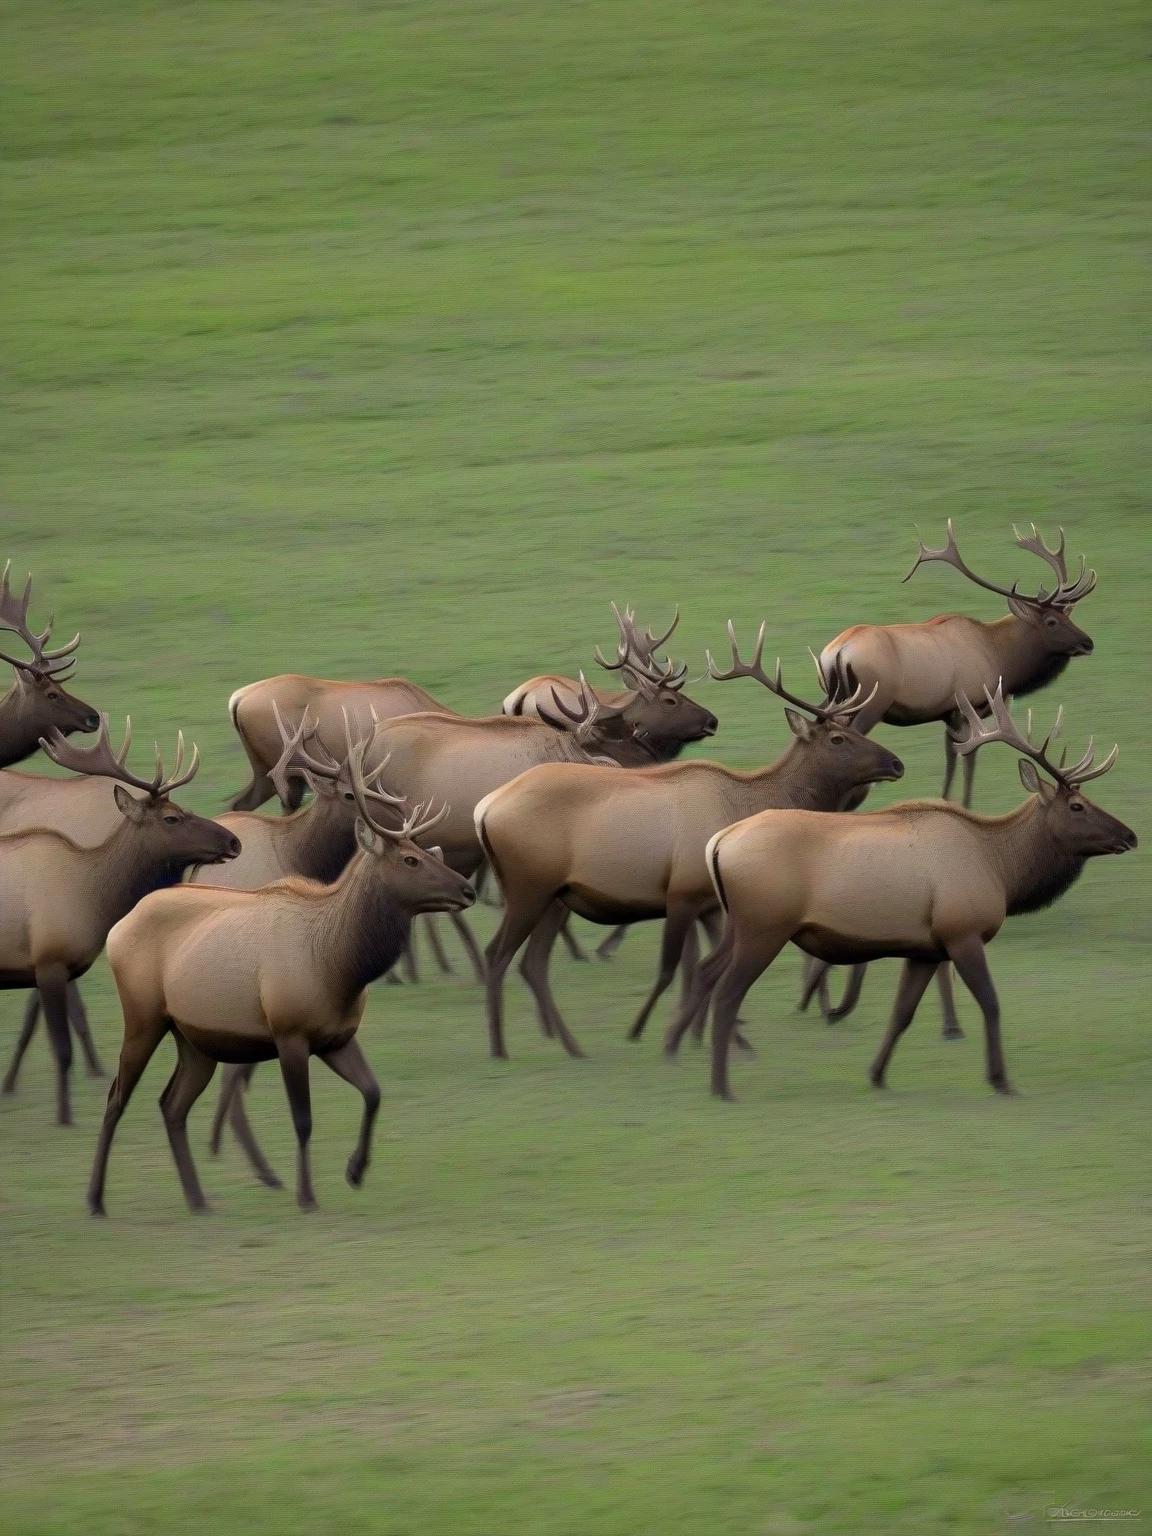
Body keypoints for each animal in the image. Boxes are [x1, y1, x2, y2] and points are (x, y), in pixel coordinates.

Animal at [0, 717, 240, 1124]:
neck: (93, 898)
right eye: (171, 818)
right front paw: (65, 1117)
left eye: (185, 807)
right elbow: (61, 1047)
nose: (233, 841)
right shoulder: (49, 960)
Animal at [89, 744, 475, 1216]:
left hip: (195, 1038)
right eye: (410, 859)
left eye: (429, 851)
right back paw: (96, 1199)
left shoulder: (338, 1037)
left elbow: (373, 1092)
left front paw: (355, 1169)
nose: (468, 889)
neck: (341, 966)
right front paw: (307, 1194)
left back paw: (197, 1198)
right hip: (143, 1017)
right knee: (116, 1097)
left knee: (172, 1105)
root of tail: (118, 927)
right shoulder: (290, 1034)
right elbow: (303, 1120)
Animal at [474, 621, 905, 1060]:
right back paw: (499, 1046)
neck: (746, 803)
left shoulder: (711, 903)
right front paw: (650, 1031)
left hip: (554, 895)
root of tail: (486, 808)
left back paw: (569, 1044)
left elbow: (704, 970)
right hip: (530, 885)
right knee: (499, 954)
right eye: (837, 739)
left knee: (531, 963)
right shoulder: (680, 892)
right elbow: (672, 969)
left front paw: (723, 1038)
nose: (896, 763)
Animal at [665, 685, 1135, 1102]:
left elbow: (902, 1013)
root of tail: (719, 842)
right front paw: (1002, 1080)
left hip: (739, 924)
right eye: (1077, 806)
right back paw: (722, 1086)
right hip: (765, 926)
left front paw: (876, 1074)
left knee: (707, 971)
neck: (1001, 869)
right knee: (728, 992)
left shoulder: (926, 948)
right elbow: (991, 1003)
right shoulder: (963, 932)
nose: (1130, 835)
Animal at [817, 522, 1096, 810]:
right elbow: (969, 759)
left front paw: (944, 800)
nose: (1088, 643)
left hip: (834, 697)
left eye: (1068, 616)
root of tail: (838, 650)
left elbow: (951, 758)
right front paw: (965, 805)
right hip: (872, 701)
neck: (1002, 659)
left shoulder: (949, 712)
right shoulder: (970, 705)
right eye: (1052, 621)